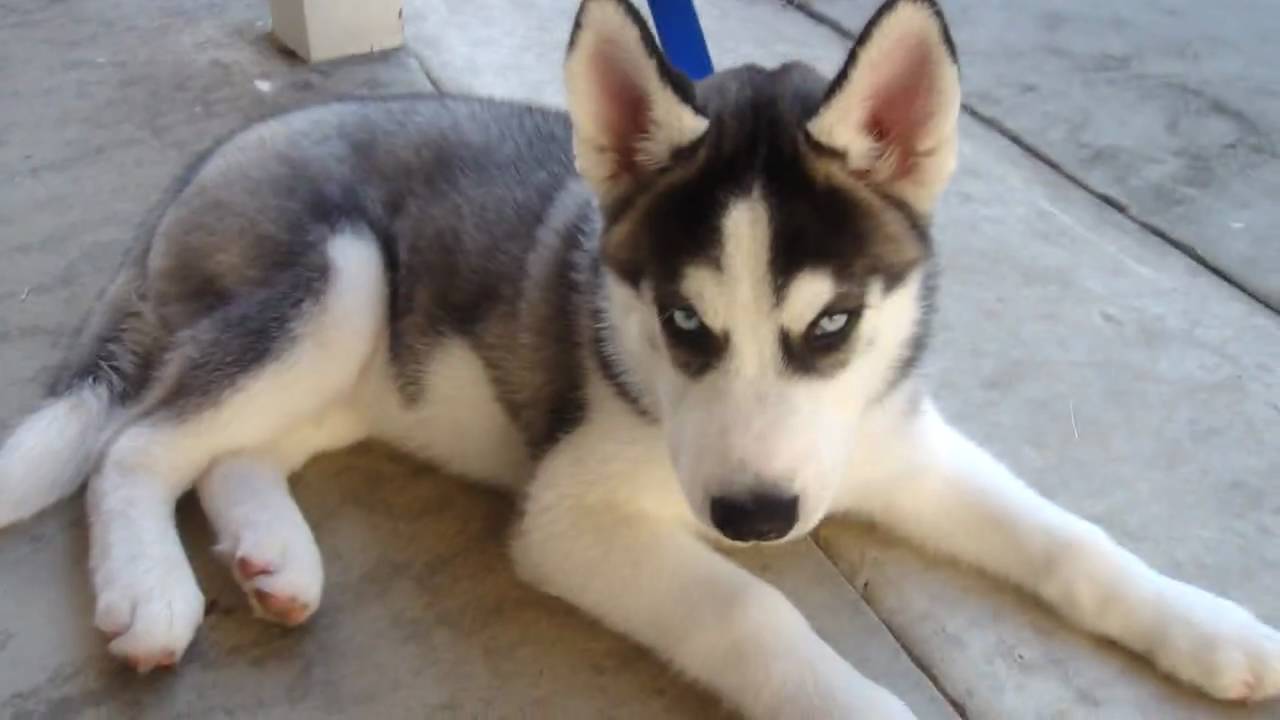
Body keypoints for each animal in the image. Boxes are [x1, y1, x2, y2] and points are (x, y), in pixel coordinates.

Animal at [2, 0, 1280, 712]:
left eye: (830, 326)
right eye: (682, 324)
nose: (757, 517)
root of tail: (215, 158)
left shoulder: (892, 443)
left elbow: (1069, 542)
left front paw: (1209, 629)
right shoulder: (572, 515)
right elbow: (749, 617)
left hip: (367, 363)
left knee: (220, 451)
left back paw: (274, 559)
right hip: (339, 279)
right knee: (135, 446)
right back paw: (152, 592)